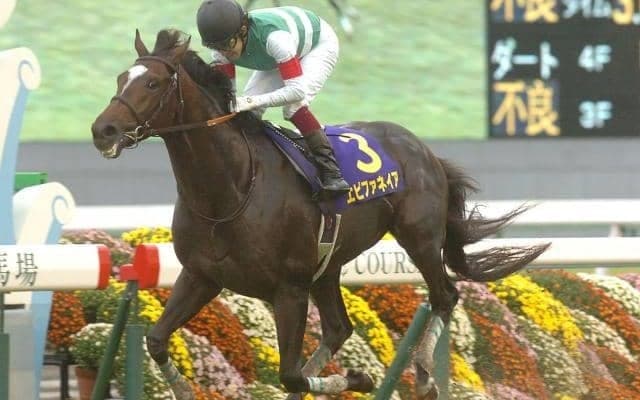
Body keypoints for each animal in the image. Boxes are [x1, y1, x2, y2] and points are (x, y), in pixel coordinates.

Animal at [91, 29, 548, 399]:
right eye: (119, 79)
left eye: (152, 83)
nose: (102, 130)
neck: (230, 190)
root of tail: (422, 147)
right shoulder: (200, 275)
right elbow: (156, 340)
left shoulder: (289, 289)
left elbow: (290, 374)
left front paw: (360, 378)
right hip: (327, 266)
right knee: (339, 327)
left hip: (418, 237)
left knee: (444, 296)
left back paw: (422, 375)